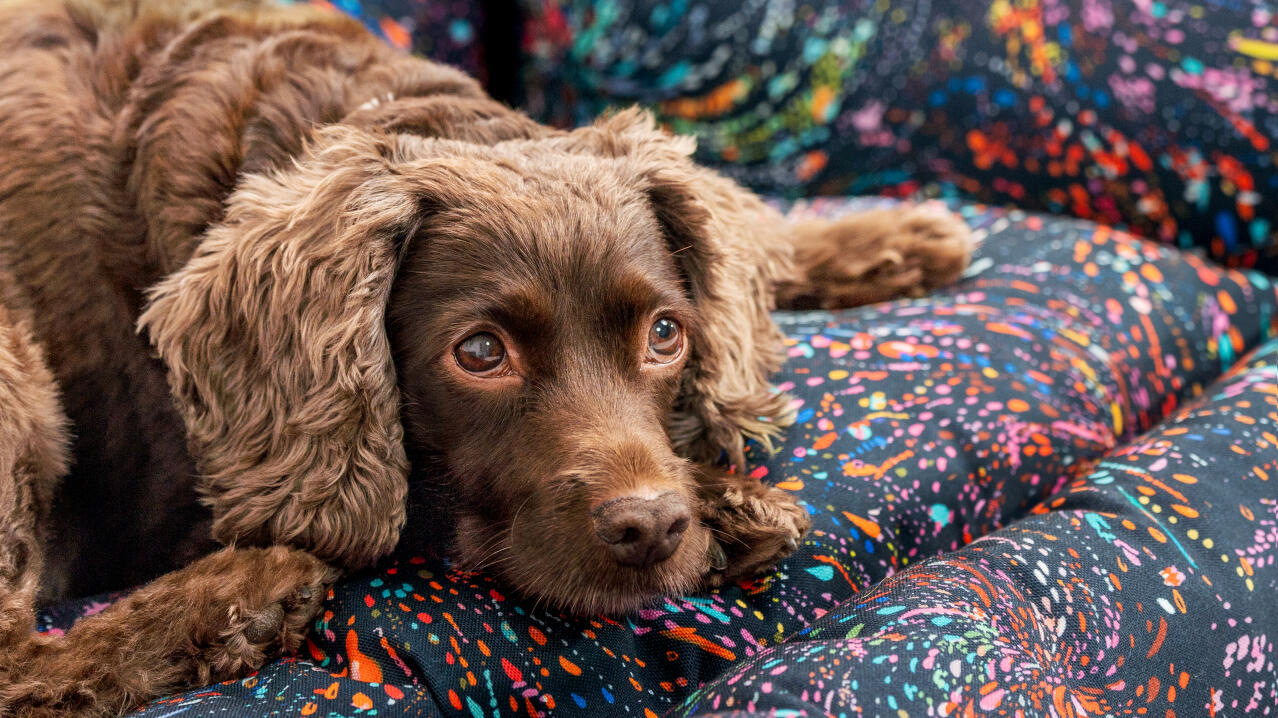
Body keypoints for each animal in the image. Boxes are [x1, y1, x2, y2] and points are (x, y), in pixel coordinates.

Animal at [0, 0, 966, 710]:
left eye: (665, 334)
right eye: (479, 352)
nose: (652, 526)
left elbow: (745, 229)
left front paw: (884, 238)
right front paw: (730, 504)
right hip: (21, 378)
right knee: (22, 667)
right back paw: (244, 598)